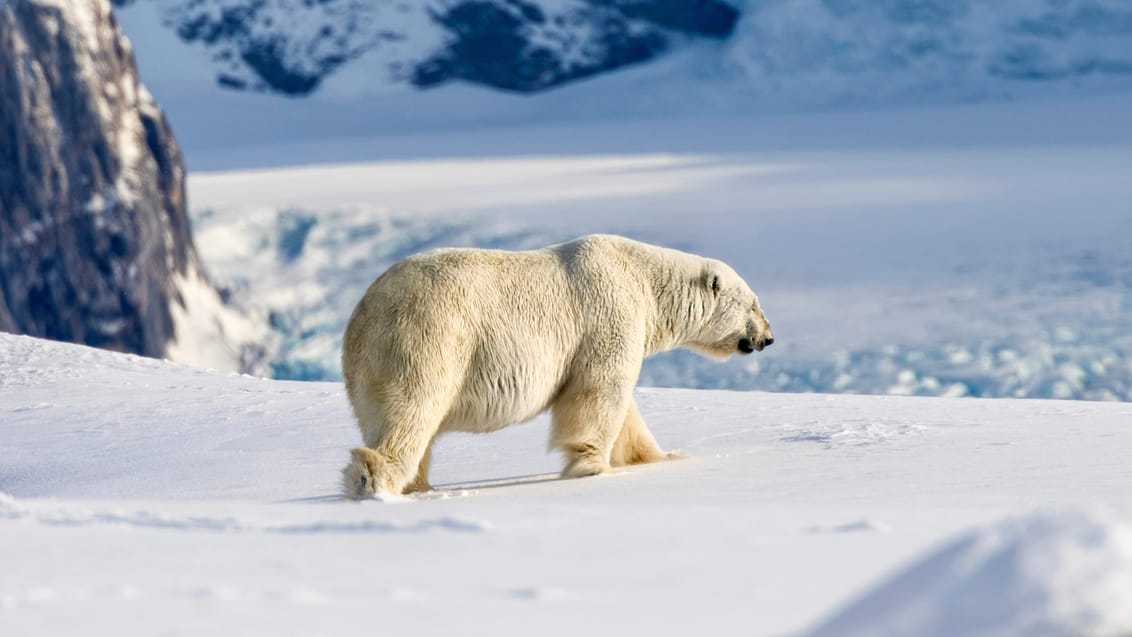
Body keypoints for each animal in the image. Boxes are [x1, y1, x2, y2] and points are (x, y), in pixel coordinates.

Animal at [339, 231, 774, 500]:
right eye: (754, 304)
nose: (768, 338)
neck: (646, 282)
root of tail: (366, 311)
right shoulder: (609, 313)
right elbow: (599, 392)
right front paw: (592, 467)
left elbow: (627, 413)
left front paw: (662, 456)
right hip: (433, 338)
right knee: (413, 409)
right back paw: (373, 480)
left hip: (370, 363)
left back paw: (419, 486)